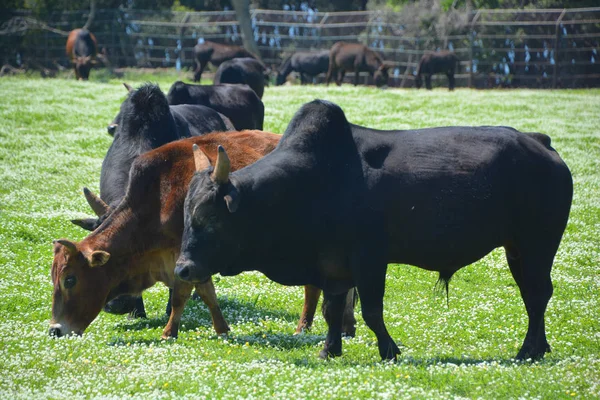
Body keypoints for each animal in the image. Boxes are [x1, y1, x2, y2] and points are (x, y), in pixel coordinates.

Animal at [50, 133, 356, 340]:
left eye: (70, 279)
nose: (55, 329)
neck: (159, 196)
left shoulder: (186, 256)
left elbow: (182, 294)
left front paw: (169, 331)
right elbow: (206, 293)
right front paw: (221, 328)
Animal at [175, 99, 572, 360]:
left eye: (209, 218)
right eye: (186, 216)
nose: (183, 269)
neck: (313, 183)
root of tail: (540, 143)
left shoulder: (369, 259)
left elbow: (371, 311)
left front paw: (389, 350)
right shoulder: (332, 266)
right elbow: (332, 310)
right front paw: (329, 349)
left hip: (537, 246)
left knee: (538, 294)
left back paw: (528, 350)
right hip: (517, 249)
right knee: (533, 295)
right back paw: (539, 347)